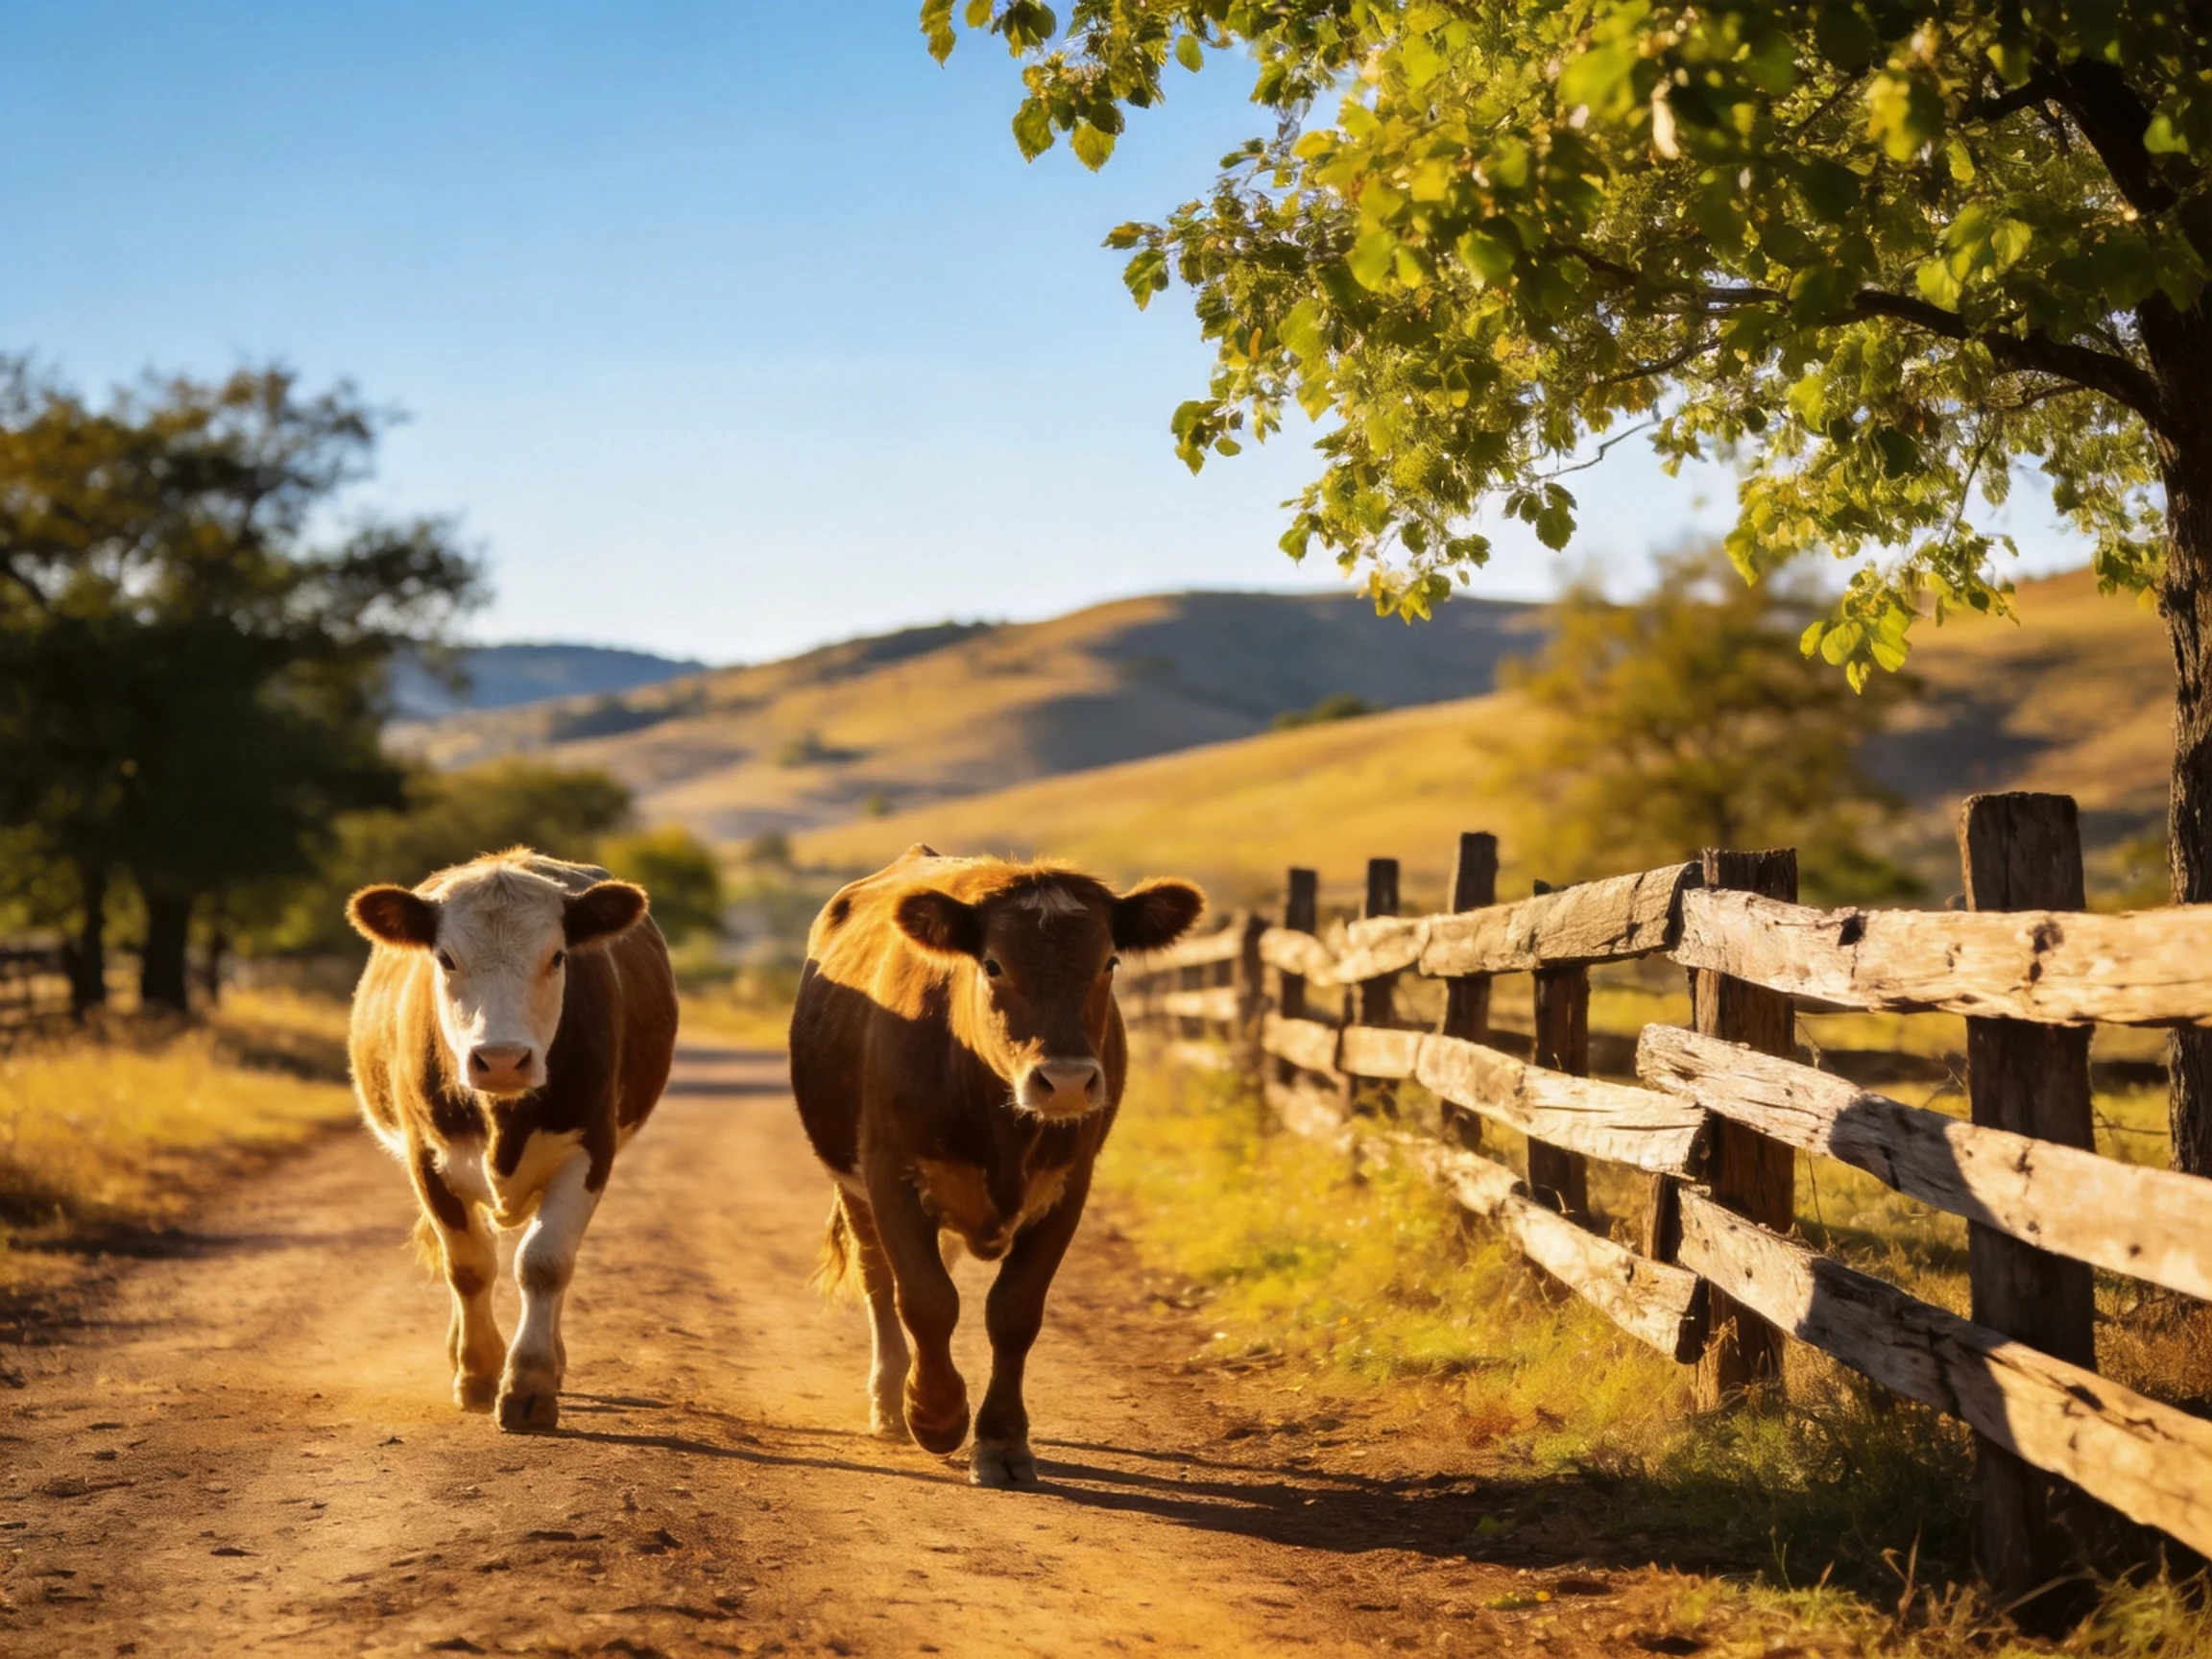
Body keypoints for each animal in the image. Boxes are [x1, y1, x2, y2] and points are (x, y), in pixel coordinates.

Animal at [345, 847, 678, 1434]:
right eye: (446, 959)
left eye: (558, 957)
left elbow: (545, 1263)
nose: (501, 1059)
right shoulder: (428, 1161)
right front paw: (478, 1371)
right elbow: (469, 1265)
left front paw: (529, 1383)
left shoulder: (590, 1154)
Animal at [789, 845, 1204, 1487]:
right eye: (992, 965)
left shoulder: (1069, 1187)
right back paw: (889, 1402)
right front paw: (934, 1415)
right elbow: (925, 1298)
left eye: (1109, 961)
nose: (1066, 1081)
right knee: (878, 1280)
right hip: (852, 1186)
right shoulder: (889, 1174)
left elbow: (1014, 1312)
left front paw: (1003, 1441)